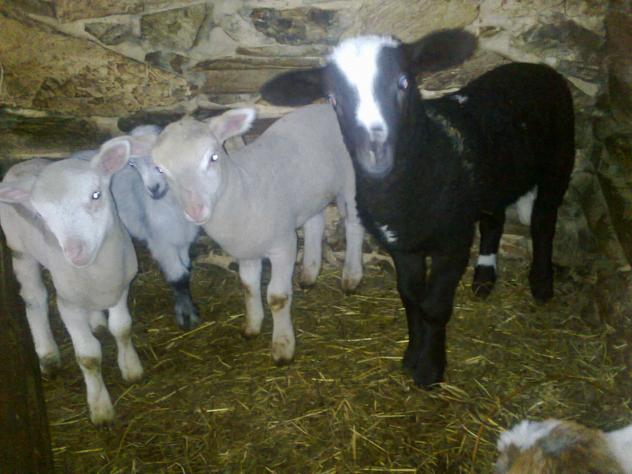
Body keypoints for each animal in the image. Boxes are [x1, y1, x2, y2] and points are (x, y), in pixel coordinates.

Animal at [0, 137, 143, 425]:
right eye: (41, 214)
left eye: (96, 195)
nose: (75, 253)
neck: (97, 269)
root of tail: (22, 165)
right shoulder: (68, 304)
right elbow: (88, 356)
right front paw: (100, 408)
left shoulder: (121, 286)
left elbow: (122, 328)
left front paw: (131, 367)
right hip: (20, 251)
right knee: (34, 297)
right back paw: (47, 353)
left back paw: (96, 321)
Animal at [72, 125, 201, 330]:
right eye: (132, 164)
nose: (153, 188)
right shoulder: (161, 242)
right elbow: (178, 277)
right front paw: (186, 314)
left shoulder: (183, 239)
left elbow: (186, 269)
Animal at [129, 104, 365, 365]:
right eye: (161, 169)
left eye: (213, 157)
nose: (195, 210)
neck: (243, 190)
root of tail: (327, 106)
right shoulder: (245, 249)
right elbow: (248, 286)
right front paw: (252, 327)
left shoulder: (283, 246)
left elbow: (277, 297)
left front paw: (282, 346)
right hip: (312, 190)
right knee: (315, 222)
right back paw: (309, 273)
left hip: (351, 182)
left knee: (354, 225)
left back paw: (351, 276)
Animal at [260, 29, 575, 387]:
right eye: (333, 98)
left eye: (403, 82)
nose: (375, 155)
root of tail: (535, 68)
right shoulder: (402, 246)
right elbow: (411, 298)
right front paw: (412, 355)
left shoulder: (452, 243)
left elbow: (435, 306)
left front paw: (429, 370)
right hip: (492, 179)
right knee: (493, 219)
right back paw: (483, 276)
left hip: (559, 161)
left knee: (543, 222)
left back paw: (541, 283)